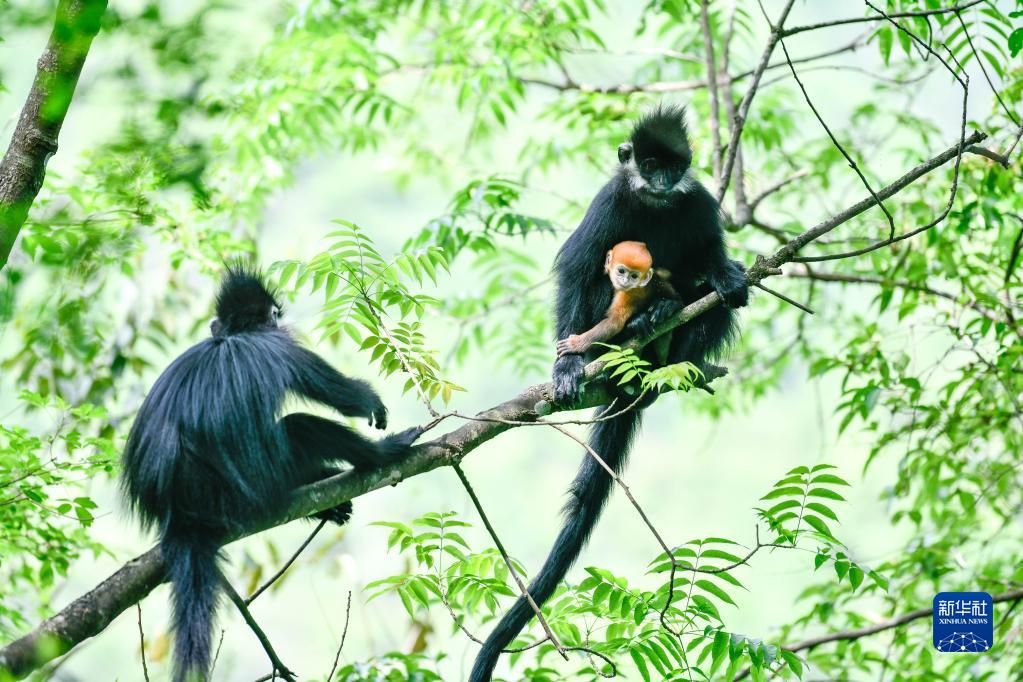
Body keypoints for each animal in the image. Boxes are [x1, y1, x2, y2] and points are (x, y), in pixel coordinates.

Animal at [468, 102, 748, 682]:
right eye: (649, 164)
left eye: (675, 166)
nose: (662, 181)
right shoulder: (608, 202)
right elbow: (578, 268)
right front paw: (568, 361)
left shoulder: (698, 201)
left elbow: (711, 256)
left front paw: (726, 275)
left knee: (704, 300)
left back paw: (673, 335)